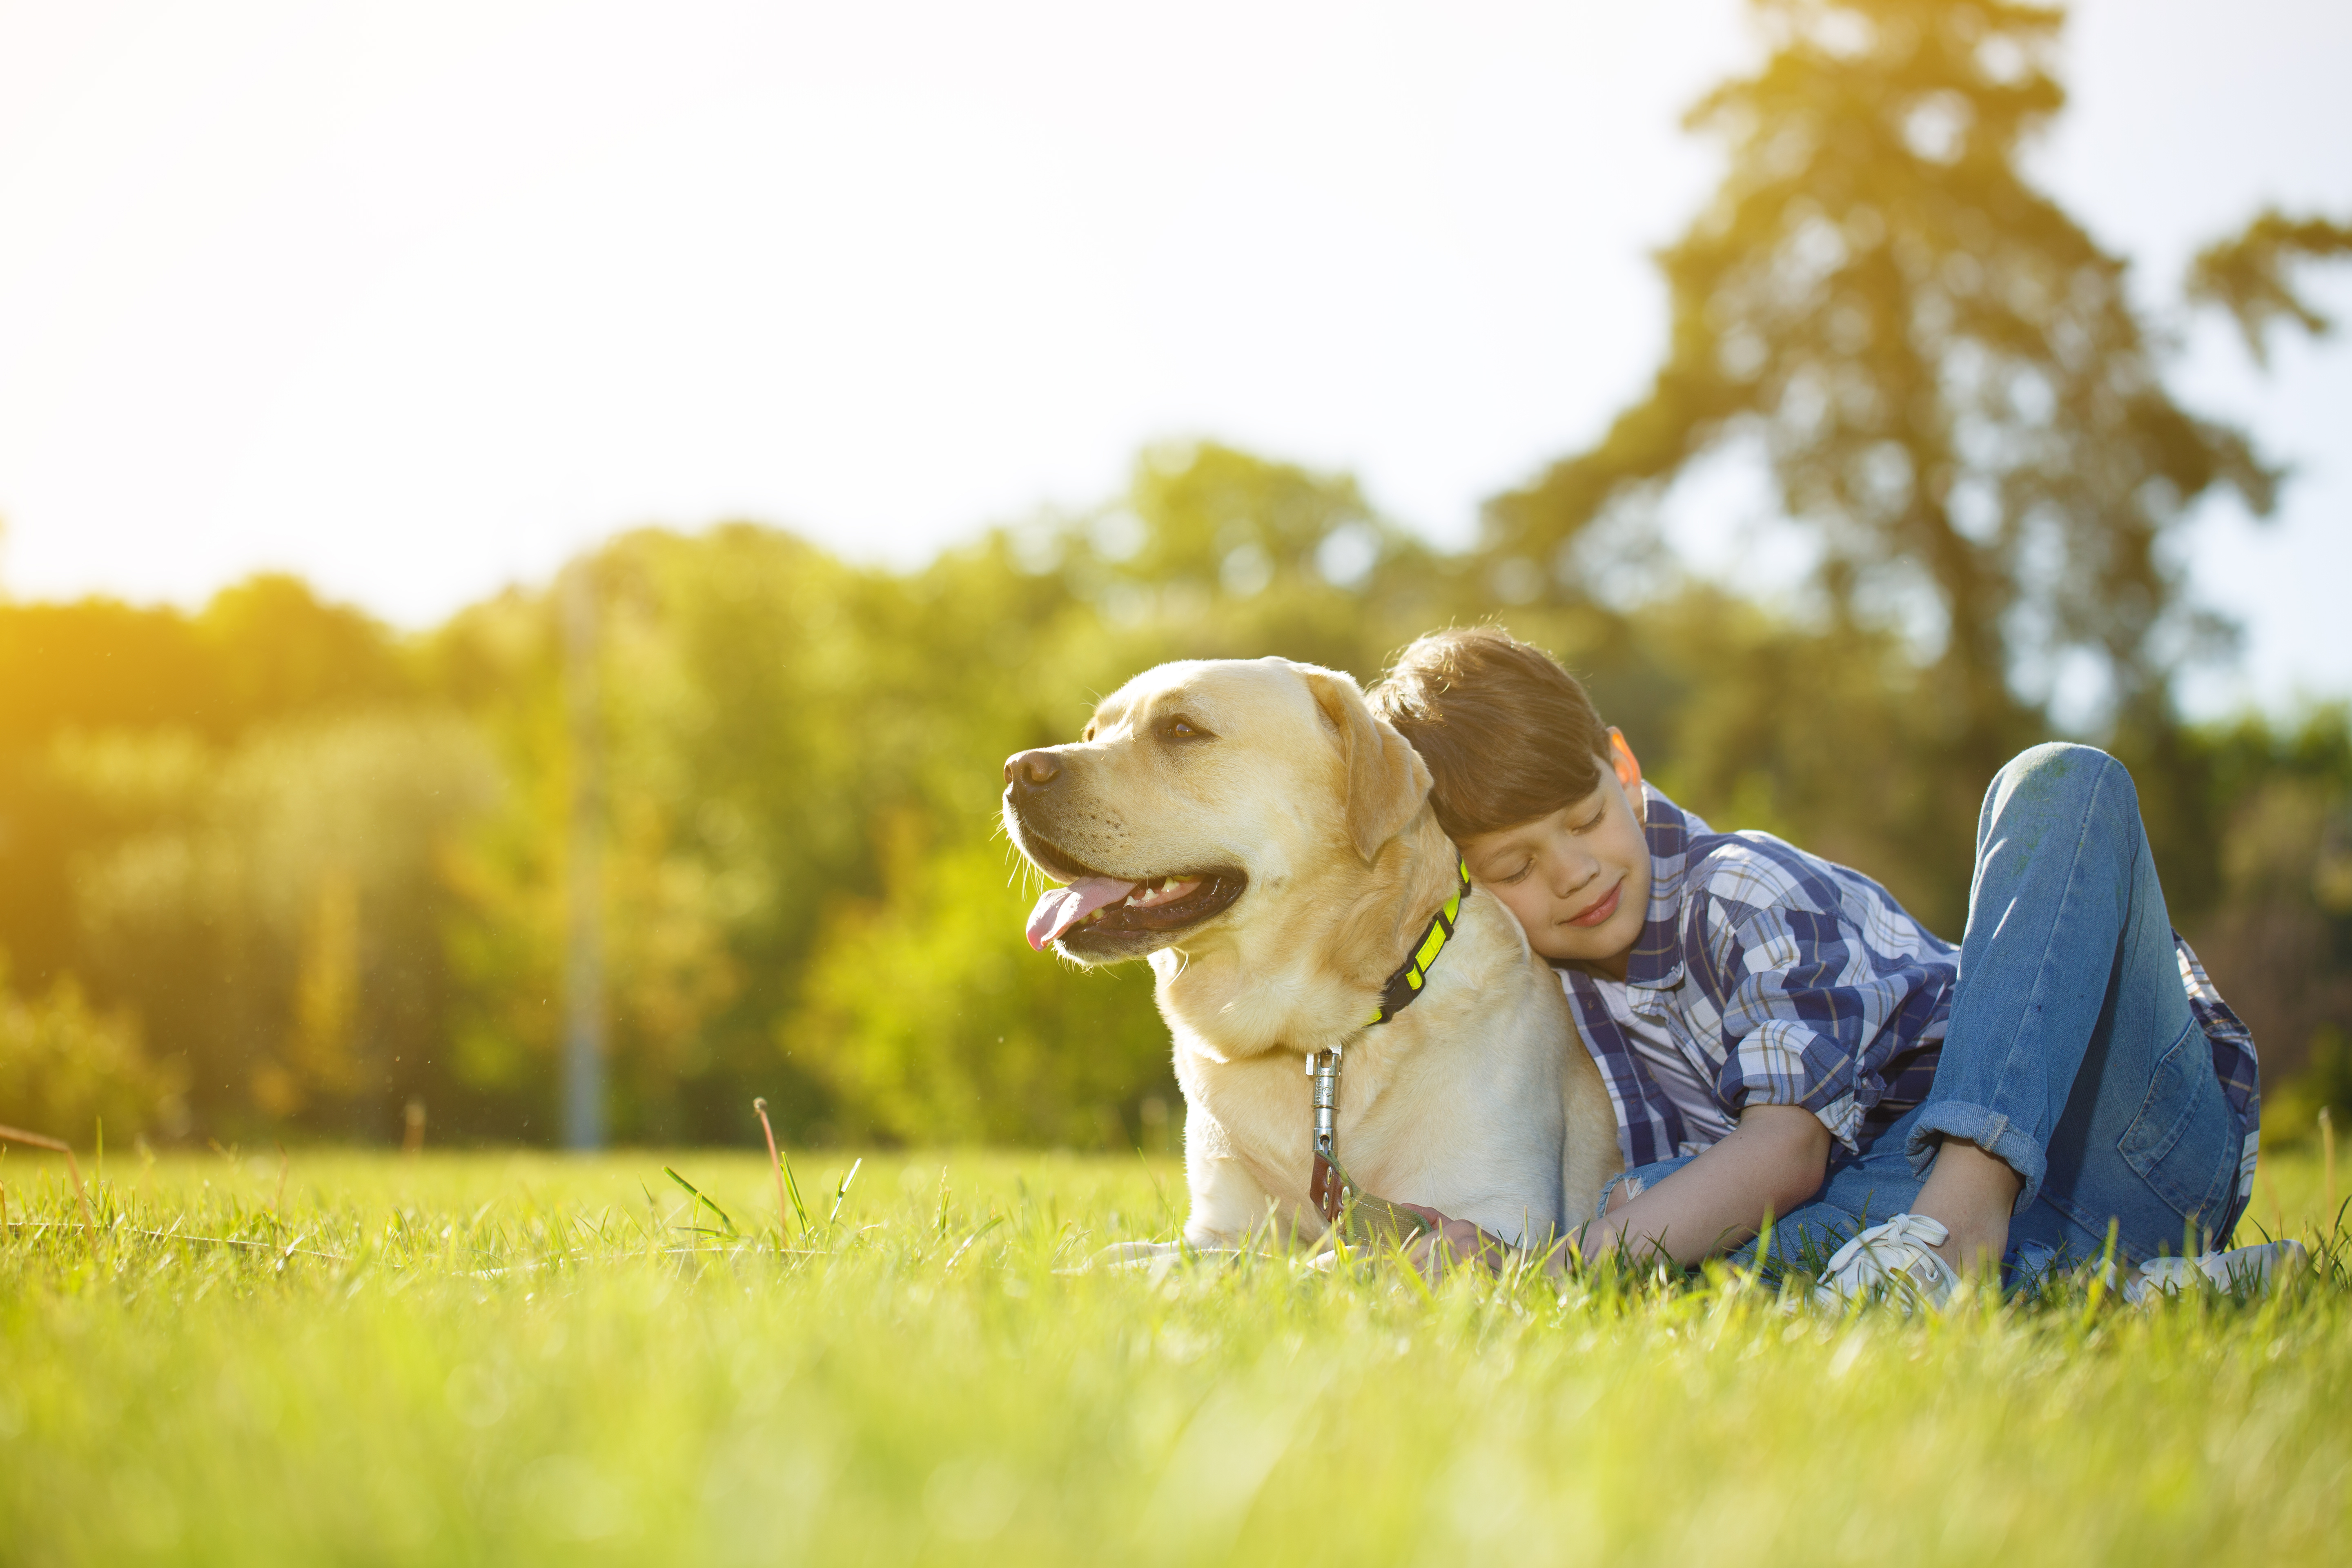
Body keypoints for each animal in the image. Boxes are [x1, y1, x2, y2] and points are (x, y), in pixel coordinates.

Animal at [1002, 658, 1627, 1260]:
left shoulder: (1500, 1223)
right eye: (1093, 733)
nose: (1017, 771)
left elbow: (1326, 1265)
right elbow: (1141, 1257)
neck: (1315, 1039)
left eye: (1181, 729)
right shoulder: (1220, 1228)